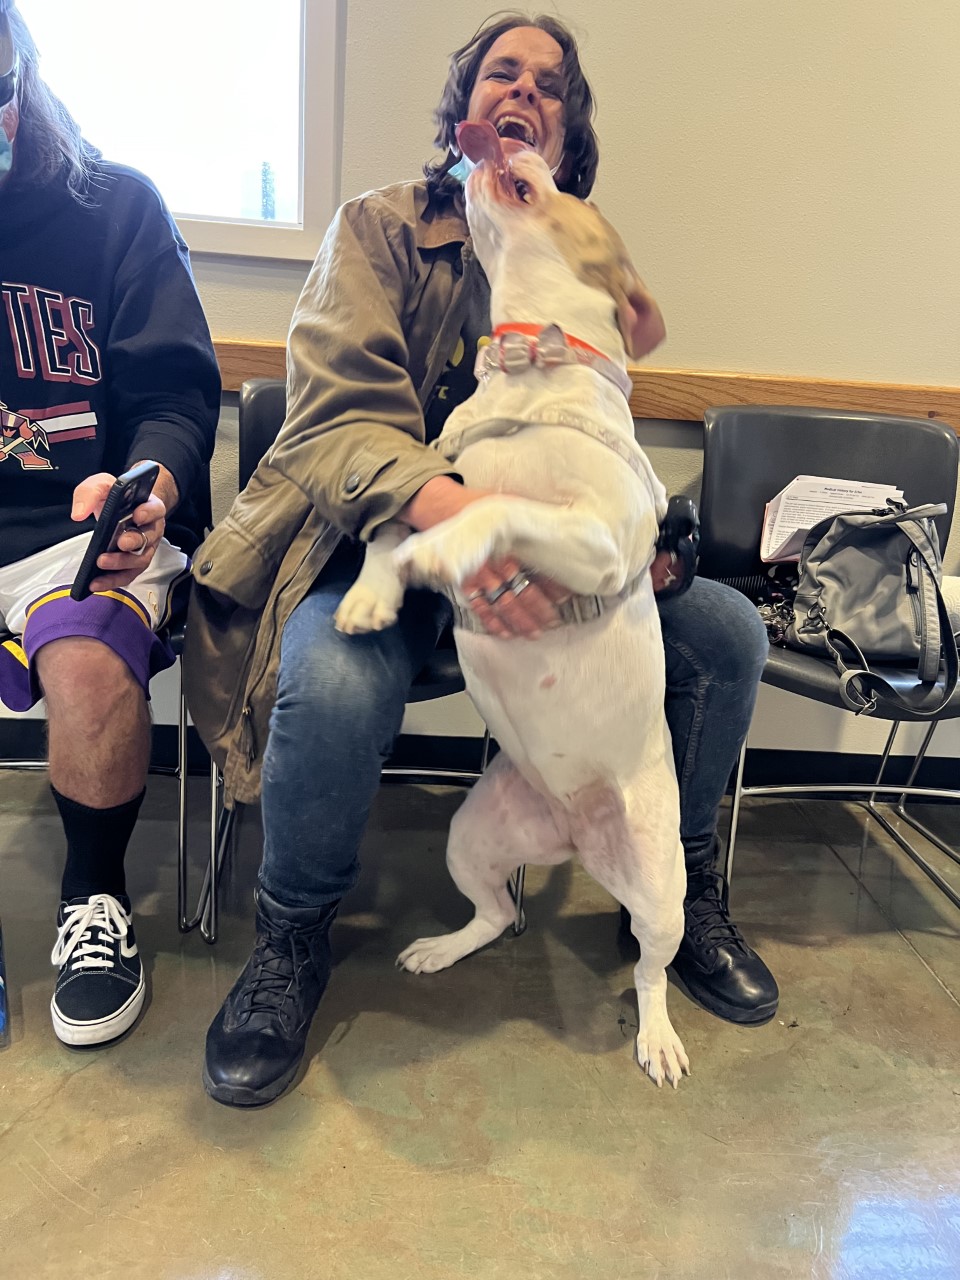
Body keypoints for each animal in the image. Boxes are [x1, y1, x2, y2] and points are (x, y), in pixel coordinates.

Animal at [337, 120, 691, 1085]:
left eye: (571, 194)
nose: (497, 135)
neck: (535, 359)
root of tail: (574, 834)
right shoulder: (434, 474)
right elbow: (395, 520)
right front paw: (371, 594)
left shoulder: (598, 540)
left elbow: (497, 512)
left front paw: (445, 551)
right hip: (474, 837)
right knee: (496, 916)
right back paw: (441, 949)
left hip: (663, 889)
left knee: (651, 968)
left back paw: (658, 1037)